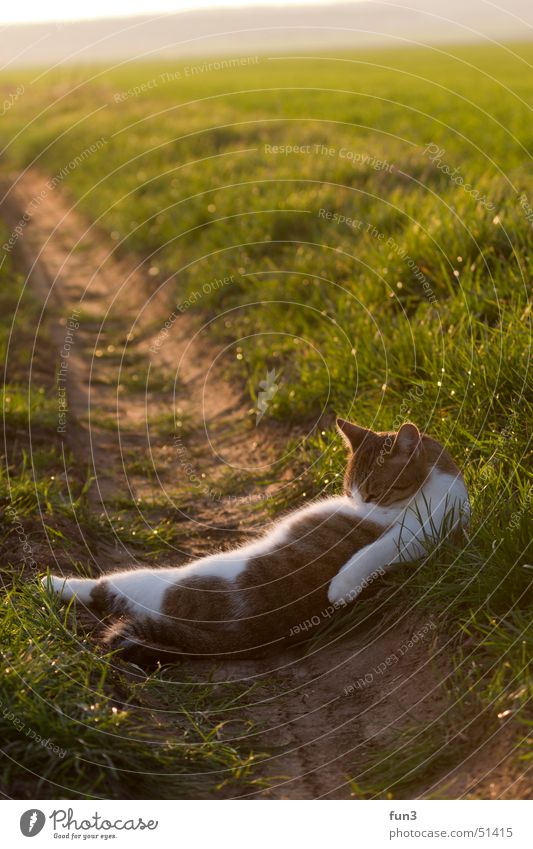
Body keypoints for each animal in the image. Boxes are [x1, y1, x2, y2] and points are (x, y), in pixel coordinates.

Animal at [42, 418, 466, 664]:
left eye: (374, 492)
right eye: (350, 487)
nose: (356, 501)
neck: (435, 484)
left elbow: (377, 551)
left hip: (156, 580)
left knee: (102, 588)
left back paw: (50, 583)